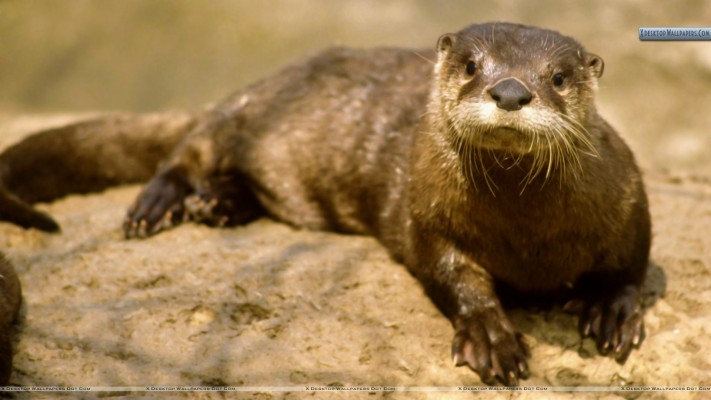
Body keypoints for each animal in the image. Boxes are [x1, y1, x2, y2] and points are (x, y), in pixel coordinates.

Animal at [0, 23, 650, 385]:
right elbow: (454, 275)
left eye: (558, 77)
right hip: (243, 112)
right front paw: (492, 337)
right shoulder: (426, 215)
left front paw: (612, 311)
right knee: (189, 147)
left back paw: (218, 203)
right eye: (471, 65)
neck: (528, 239)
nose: (511, 90)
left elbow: (632, 263)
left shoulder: (627, 199)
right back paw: (161, 203)